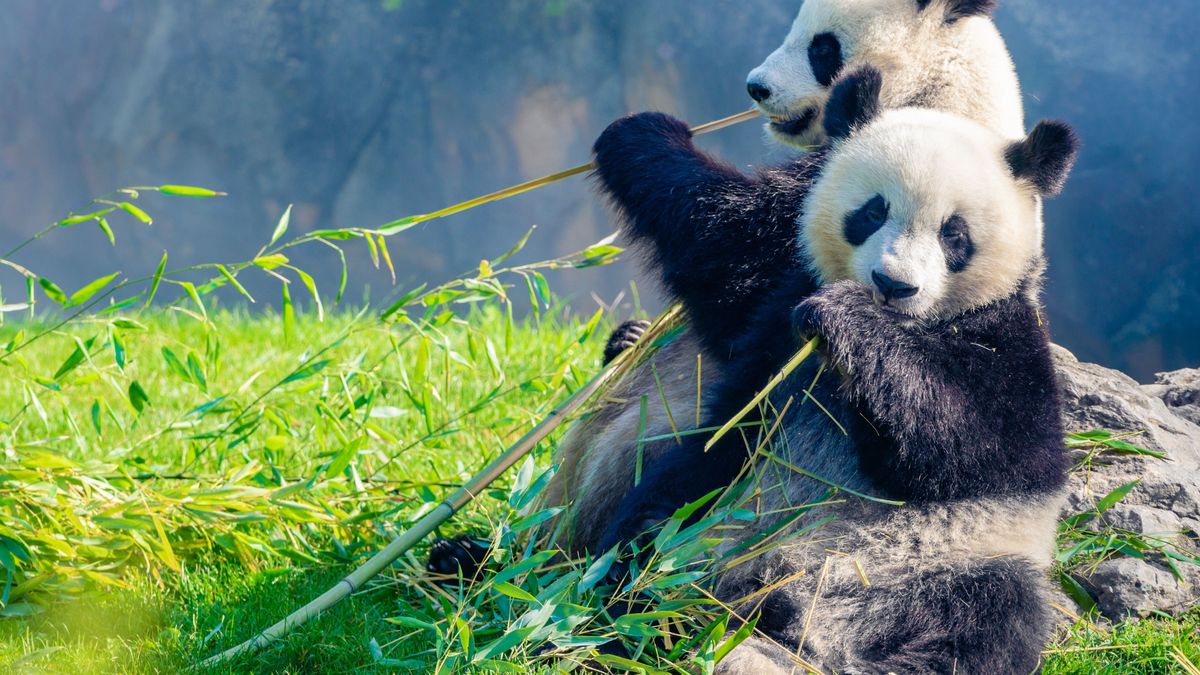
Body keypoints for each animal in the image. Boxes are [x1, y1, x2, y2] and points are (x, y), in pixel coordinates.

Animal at [590, 69, 1080, 672]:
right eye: (872, 211)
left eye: (954, 234)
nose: (894, 285)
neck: (909, 327)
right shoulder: (778, 317)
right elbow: (724, 271)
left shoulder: (1009, 339)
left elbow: (981, 447)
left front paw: (846, 318)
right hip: (716, 509)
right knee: (652, 529)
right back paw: (635, 616)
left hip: (956, 561)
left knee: (989, 621)